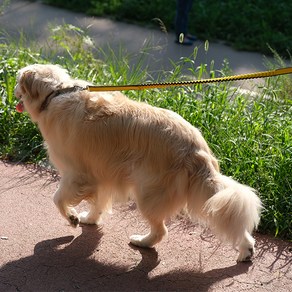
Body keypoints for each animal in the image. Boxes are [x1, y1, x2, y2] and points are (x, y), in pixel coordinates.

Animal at [14, 64, 262, 262]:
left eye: (17, 81)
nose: (12, 89)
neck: (55, 93)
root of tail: (196, 149)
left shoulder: (76, 174)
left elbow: (57, 198)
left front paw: (73, 217)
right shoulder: (101, 172)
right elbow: (98, 202)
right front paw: (90, 219)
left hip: (148, 192)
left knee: (161, 231)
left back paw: (142, 241)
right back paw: (246, 250)